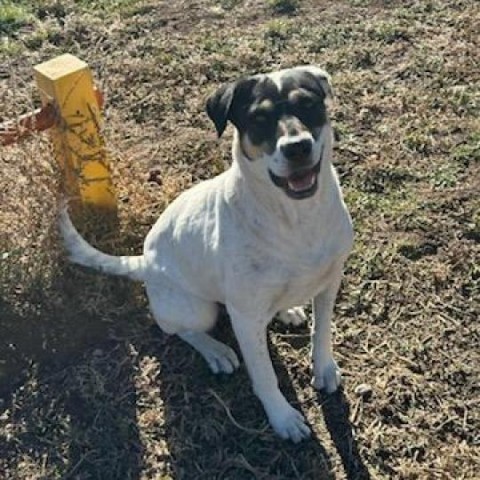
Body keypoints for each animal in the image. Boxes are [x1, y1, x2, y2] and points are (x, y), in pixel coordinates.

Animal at [59, 64, 352, 442]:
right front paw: (282, 417)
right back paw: (216, 350)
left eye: (309, 105)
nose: (297, 148)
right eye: (258, 119)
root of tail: (145, 262)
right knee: (178, 329)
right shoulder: (245, 318)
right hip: (198, 310)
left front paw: (324, 368)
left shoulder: (329, 282)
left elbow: (322, 331)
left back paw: (287, 310)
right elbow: (265, 375)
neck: (297, 217)